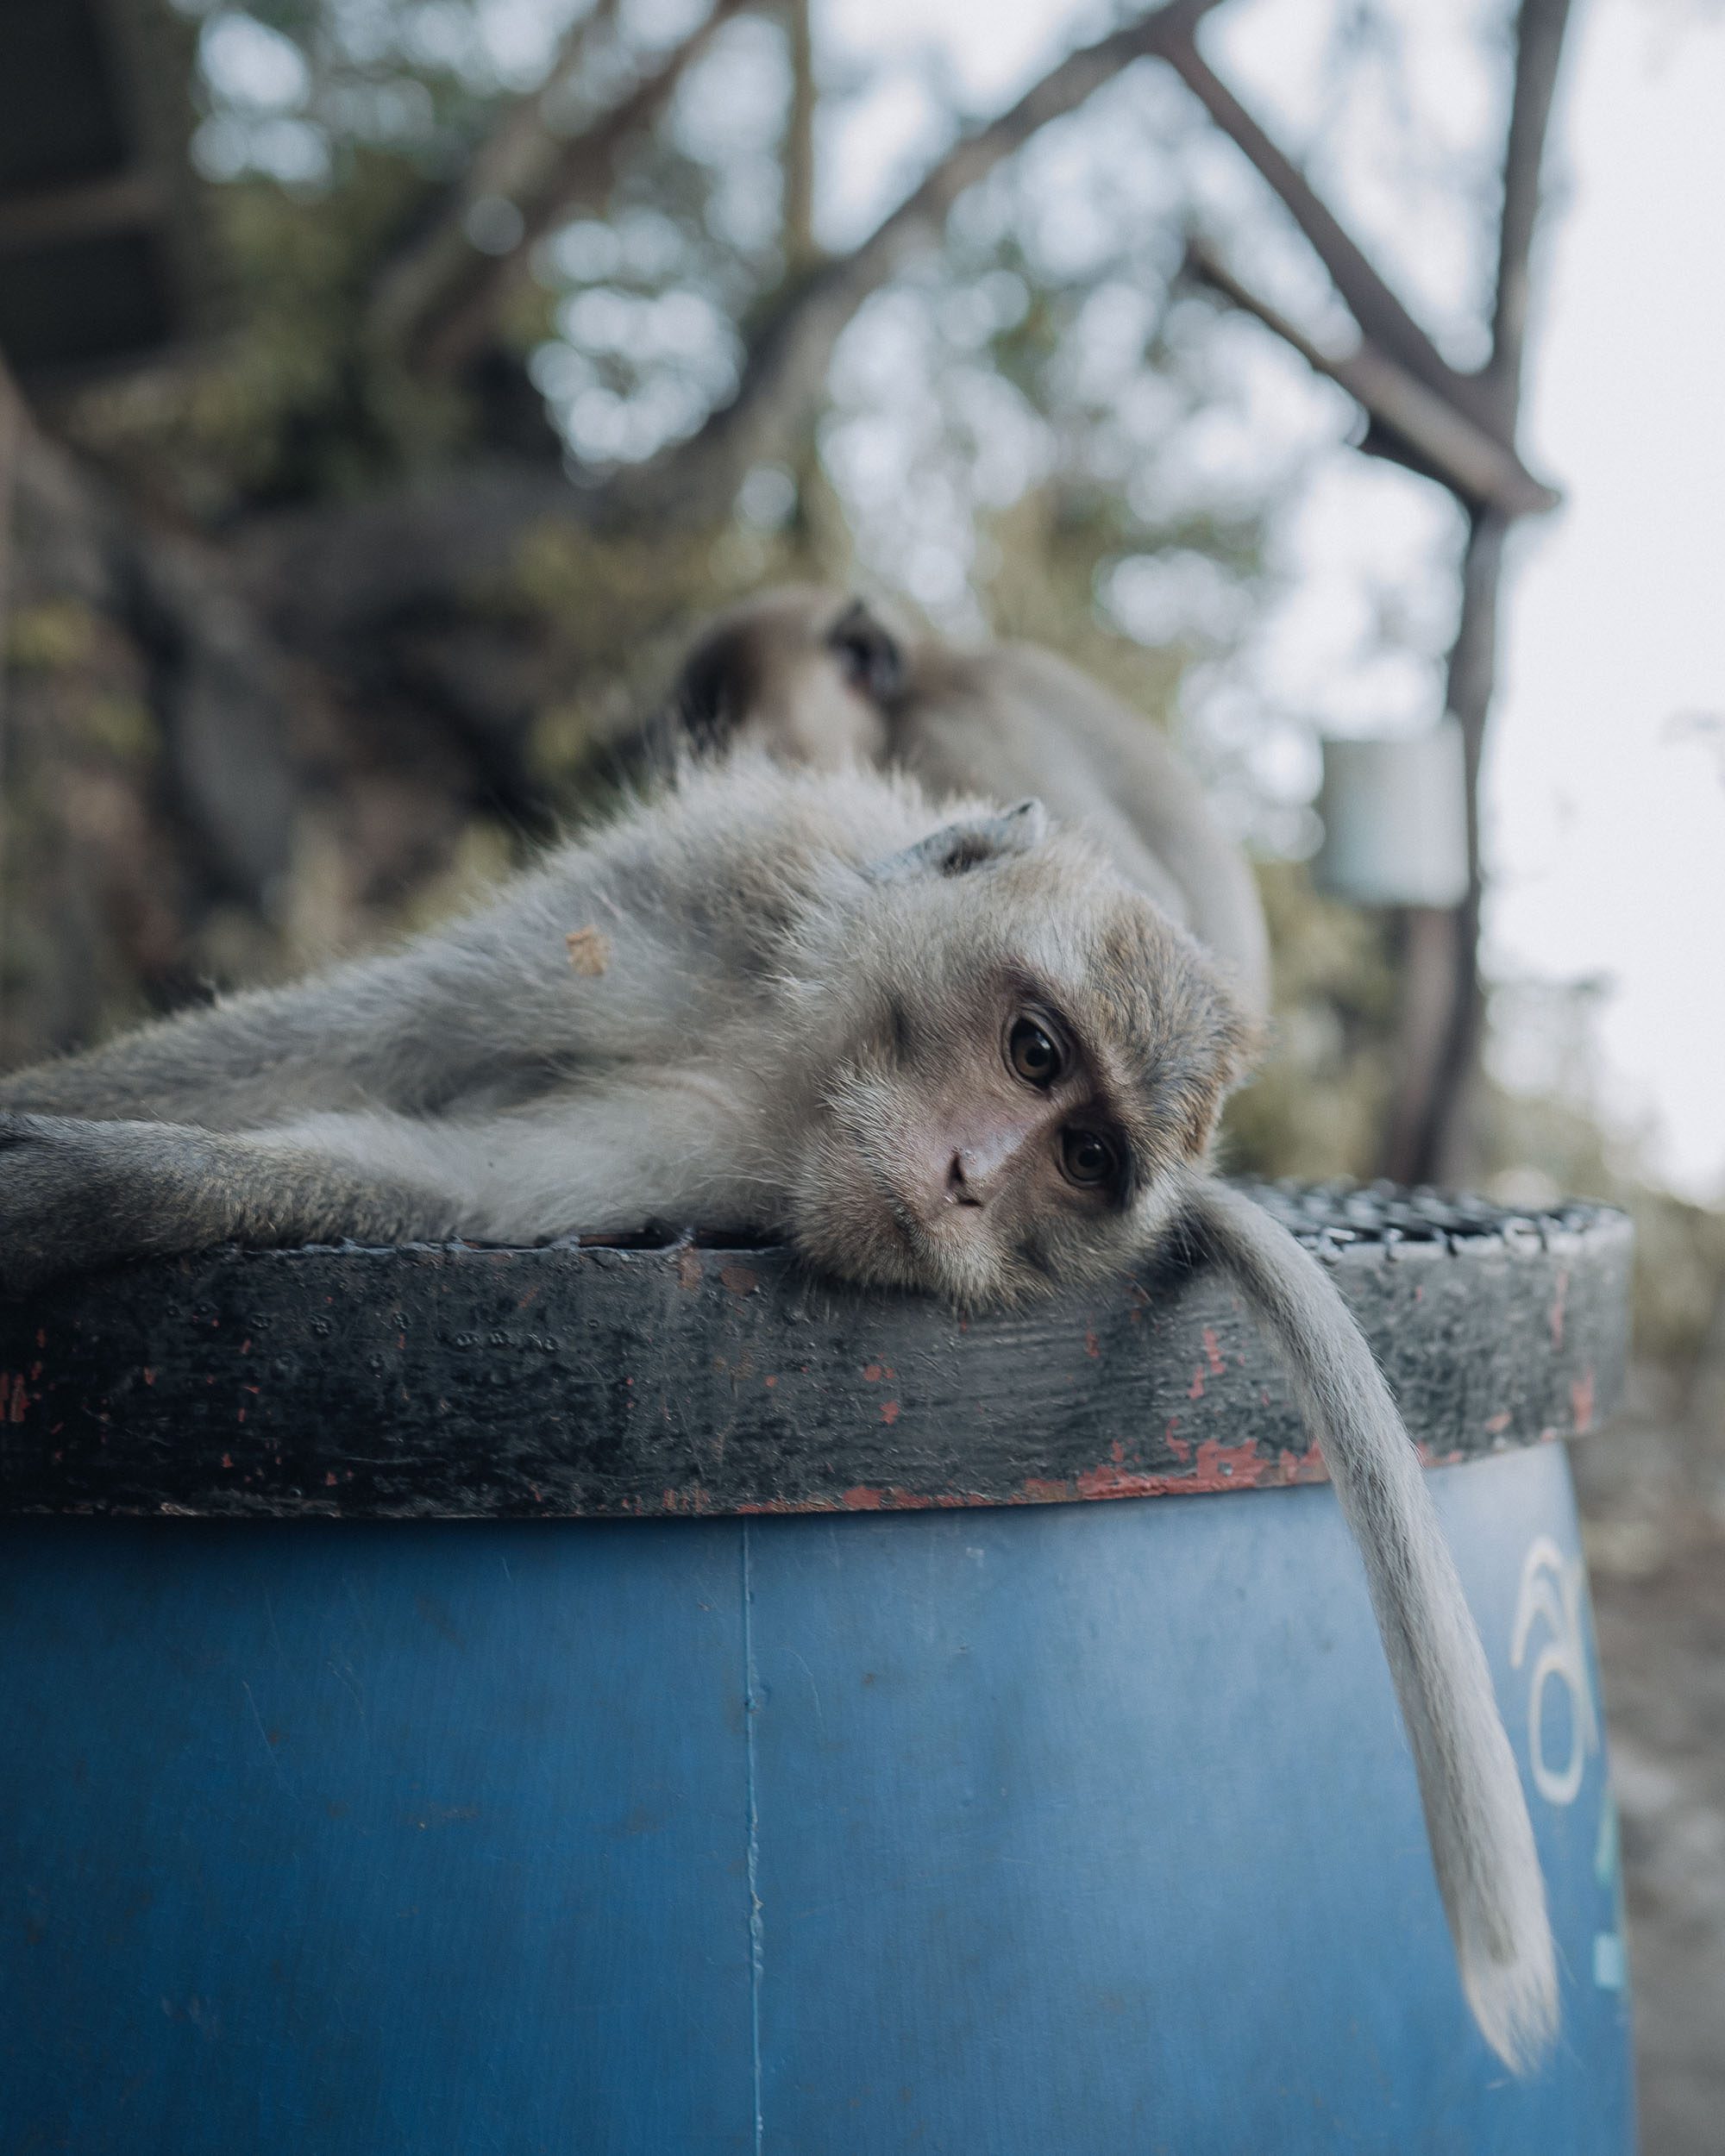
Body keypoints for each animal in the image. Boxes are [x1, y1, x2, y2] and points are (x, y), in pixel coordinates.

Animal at [0, 649, 1555, 2073]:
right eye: (1034, 1050)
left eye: (1086, 1159)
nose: (967, 1180)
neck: (803, 1051)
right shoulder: (704, 897)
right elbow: (368, 1036)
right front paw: (76, 1127)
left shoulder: (718, 1148)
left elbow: (454, 1185)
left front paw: (107, 1188)